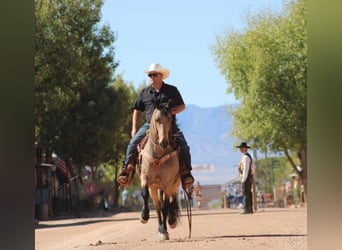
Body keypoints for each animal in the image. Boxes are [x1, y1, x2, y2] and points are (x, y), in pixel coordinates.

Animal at [138, 101, 183, 240]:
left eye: (169, 119)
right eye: (157, 119)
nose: (163, 142)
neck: (158, 153)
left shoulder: (167, 182)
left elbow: (166, 206)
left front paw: (165, 230)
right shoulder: (145, 178)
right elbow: (145, 195)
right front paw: (144, 216)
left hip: (174, 184)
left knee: (170, 200)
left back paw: (171, 221)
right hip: (155, 187)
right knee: (157, 206)